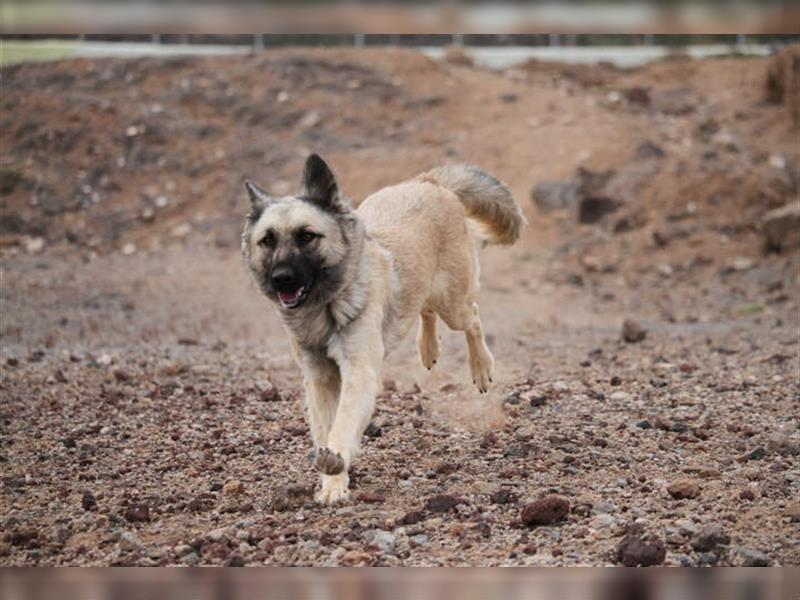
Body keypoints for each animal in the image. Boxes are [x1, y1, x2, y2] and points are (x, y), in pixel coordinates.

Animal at [241, 154, 524, 502]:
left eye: (307, 236)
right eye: (267, 241)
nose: (281, 279)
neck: (327, 305)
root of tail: (426, 182)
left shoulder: (359, 371)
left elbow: (342, 425)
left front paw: (335, 467)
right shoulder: (318, 377)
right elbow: (326, 426)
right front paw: (332, 478)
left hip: (453, 304)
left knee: (472, 317)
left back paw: (481, 366)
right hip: (424, 289)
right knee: (424, 308)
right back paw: (428, 348)